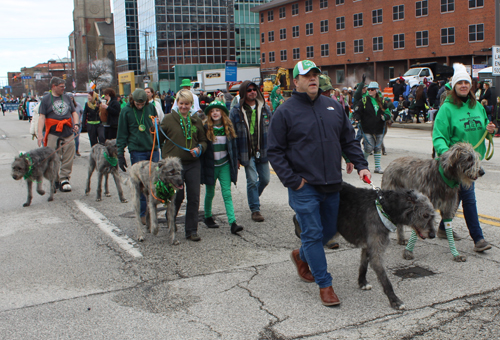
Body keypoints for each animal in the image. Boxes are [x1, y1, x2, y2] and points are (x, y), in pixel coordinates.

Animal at [294, 182, 436, 310]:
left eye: (432, 216)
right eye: (425, 215)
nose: (433, 235)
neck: (384, 208)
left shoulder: (368, 246)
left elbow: (363, 266)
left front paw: (362, 282)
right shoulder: (376, 250)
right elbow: (385, 279)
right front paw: (395, 300)